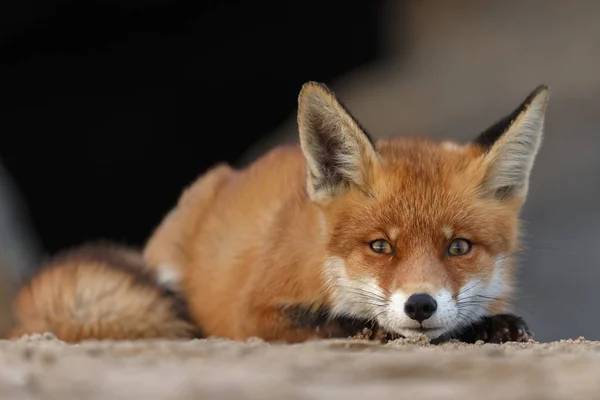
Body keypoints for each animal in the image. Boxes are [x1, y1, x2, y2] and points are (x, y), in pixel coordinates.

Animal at [7, 82, 548, 344]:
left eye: (458, 246)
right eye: (380, 246)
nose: (420, 305)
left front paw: (491, 326)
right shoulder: (252, 312)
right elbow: (326, 323)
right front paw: (366, 327)